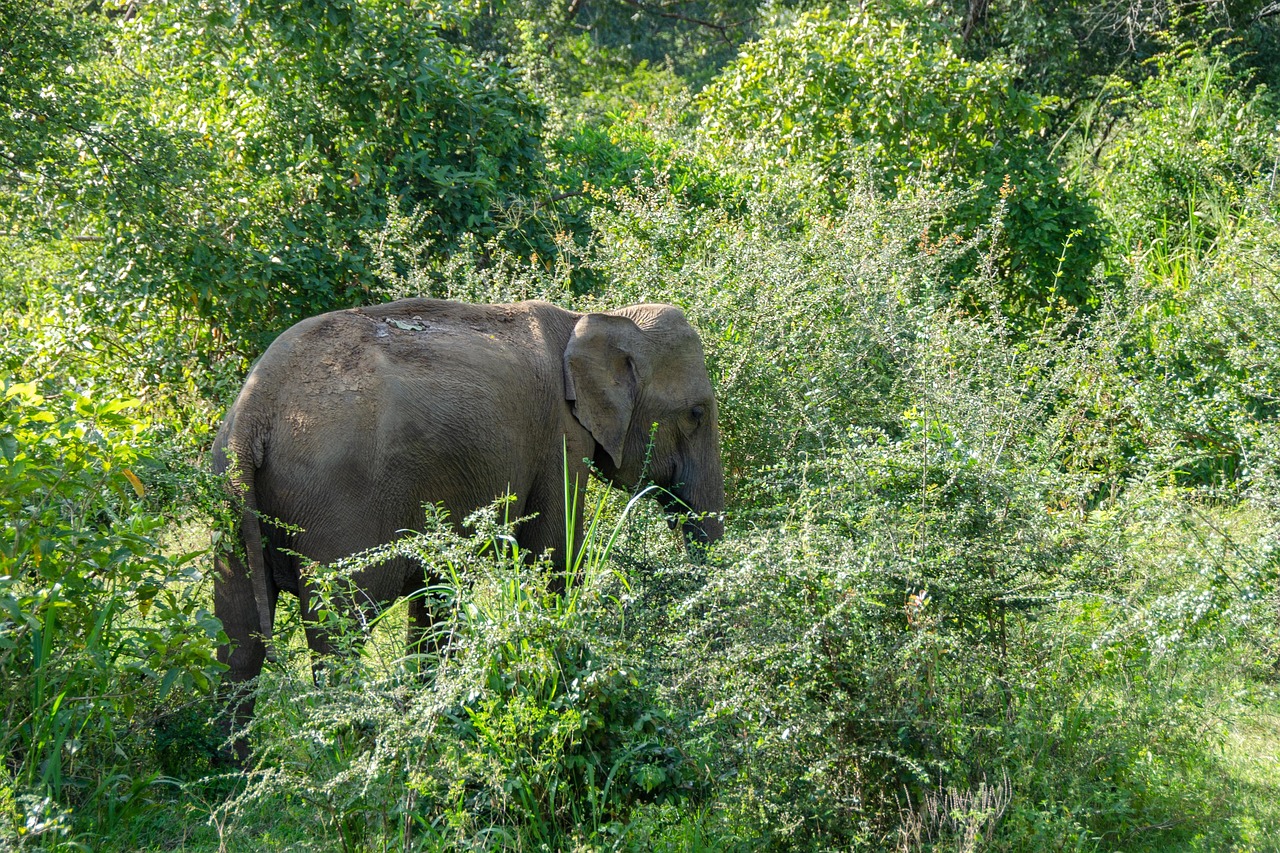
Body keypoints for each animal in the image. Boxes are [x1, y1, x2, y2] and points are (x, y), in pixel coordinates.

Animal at [215, 295, 727, 753]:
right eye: (697, 413)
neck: (593, 318)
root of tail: (252, 412)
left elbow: (435, 599)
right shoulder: (559, 437)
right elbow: (553, 559)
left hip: (230, 500)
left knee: (237, 642)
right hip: (336, 505)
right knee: (336, 634)